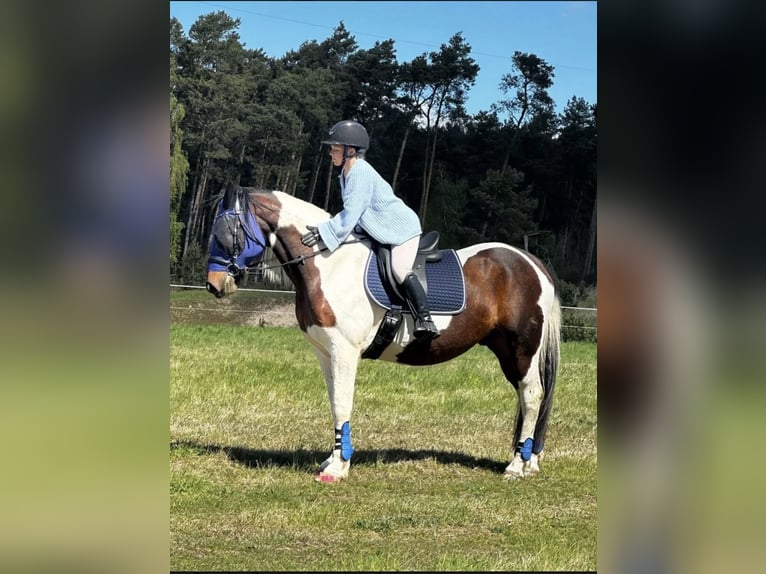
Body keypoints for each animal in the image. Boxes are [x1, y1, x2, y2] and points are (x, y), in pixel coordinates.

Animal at [204, 183, 561, 483]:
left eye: (226, 230)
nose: (215, 285)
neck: (328, 264)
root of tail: (530, 262)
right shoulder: (325, 352)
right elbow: (334, 402)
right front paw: (332, 460)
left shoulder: (345, 350)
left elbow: (343, 404)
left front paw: (338, 468)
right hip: (506, 351)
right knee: (527, 398)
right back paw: (528, 460)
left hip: (523, 349)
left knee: (532, 396)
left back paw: (516, 466)